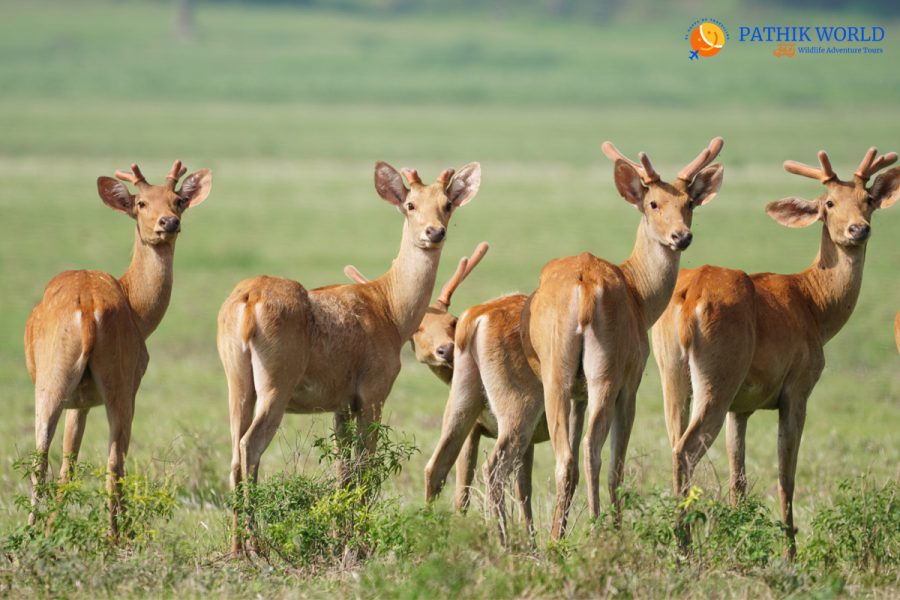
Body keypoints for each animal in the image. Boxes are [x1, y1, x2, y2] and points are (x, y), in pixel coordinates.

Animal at [24, 161, 212, 538]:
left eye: (178, 200)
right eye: (141, 202)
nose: (168, 222)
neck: (138, 311)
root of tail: (88, 311)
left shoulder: (82, 400)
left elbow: (70, 459)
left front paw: (56, 522)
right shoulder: (93, 396)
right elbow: (71, 459)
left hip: (68, 378)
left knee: (64, 456)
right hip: (114, 381)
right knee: (104, 458)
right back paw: (111, 533)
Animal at [217, 162, 481, 555]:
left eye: (447, 203)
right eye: (410, 204)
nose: (434, 232)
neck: (389, 308)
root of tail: (248, 302)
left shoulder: (340, 402)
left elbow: (342, 470)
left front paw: (340, 536)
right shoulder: (373, 393)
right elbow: (365, 467)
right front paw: (360, 541)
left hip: (237, 382)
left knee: (235, 450)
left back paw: (236, 546)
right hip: (276, 385)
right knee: (250, 446)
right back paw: (255, 544)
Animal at [523, 138, 725, 540]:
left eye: (689, 202)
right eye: (653, 203)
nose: (682, 236)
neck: (640, 295)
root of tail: (586, 290)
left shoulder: (578, 393)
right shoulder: (632, 380)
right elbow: (617, 457)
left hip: (558, 370)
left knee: (566, 455)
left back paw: (556, 536)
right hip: (608, 371)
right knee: (595, 450)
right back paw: (602, 528)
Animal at [651, 147, 899, 559]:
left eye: (868, 199)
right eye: (828, 203)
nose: (858, 229)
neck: (813, 303)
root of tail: (688, 298)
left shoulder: (742, 406)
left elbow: (738, 478)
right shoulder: (797, 389)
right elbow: (786, 475)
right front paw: (790, 553)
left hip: (673, 374)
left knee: (672, 444)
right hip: (717, 378)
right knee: (685, 449)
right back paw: (684, 546)